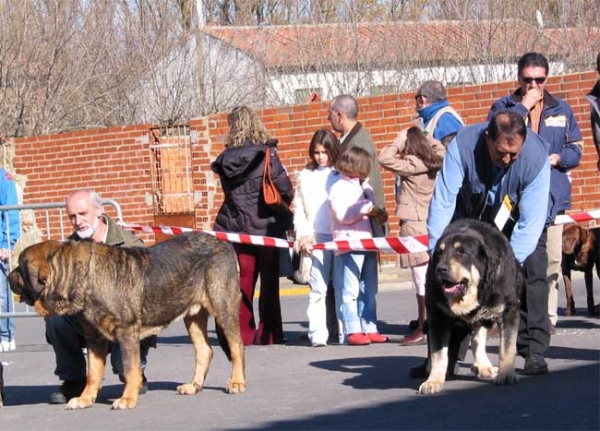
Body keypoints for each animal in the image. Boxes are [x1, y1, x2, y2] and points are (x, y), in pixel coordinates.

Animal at [7, 231, 246, 410]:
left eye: (20, 267)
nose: (8, 276)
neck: (83, 277)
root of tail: (224, 243)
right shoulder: (95, 339)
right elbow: (93, 373)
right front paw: (85, 399)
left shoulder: (127, 332)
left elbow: (130, 369)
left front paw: (127, 398)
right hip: (193, 315)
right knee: (205, 350)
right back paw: (194, 386)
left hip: (222, 306)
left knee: (236, 346)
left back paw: (236, 382)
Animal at [420, 221, 524, 396]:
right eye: (440, 253)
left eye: (461, 252)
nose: (440, 269)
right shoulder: (437, 317)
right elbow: (439, 354)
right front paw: (433, 381)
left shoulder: (509, 312)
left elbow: (507, 347)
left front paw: (506, 374)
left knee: (478, 338)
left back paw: (485, 366)